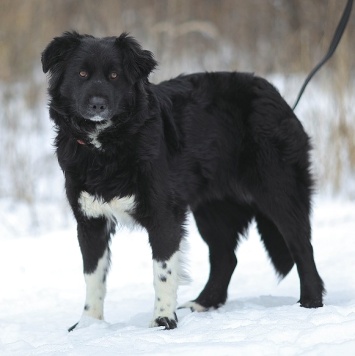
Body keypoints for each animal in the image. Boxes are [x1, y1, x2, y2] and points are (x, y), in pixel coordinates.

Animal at [41, 32, 326, 330]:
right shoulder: (90, 221)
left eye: (114, 75)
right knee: (226, 257)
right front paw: (89, 324)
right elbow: (93, 275)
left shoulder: (164, 215)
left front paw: (163, 319)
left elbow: (163, 271)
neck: (107, 145)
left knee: (302, 247)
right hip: (212, 209)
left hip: (279, 191)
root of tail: (276, 95)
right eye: (82, 74)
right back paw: (204, 303)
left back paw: (310, 302)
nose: (98, 105)